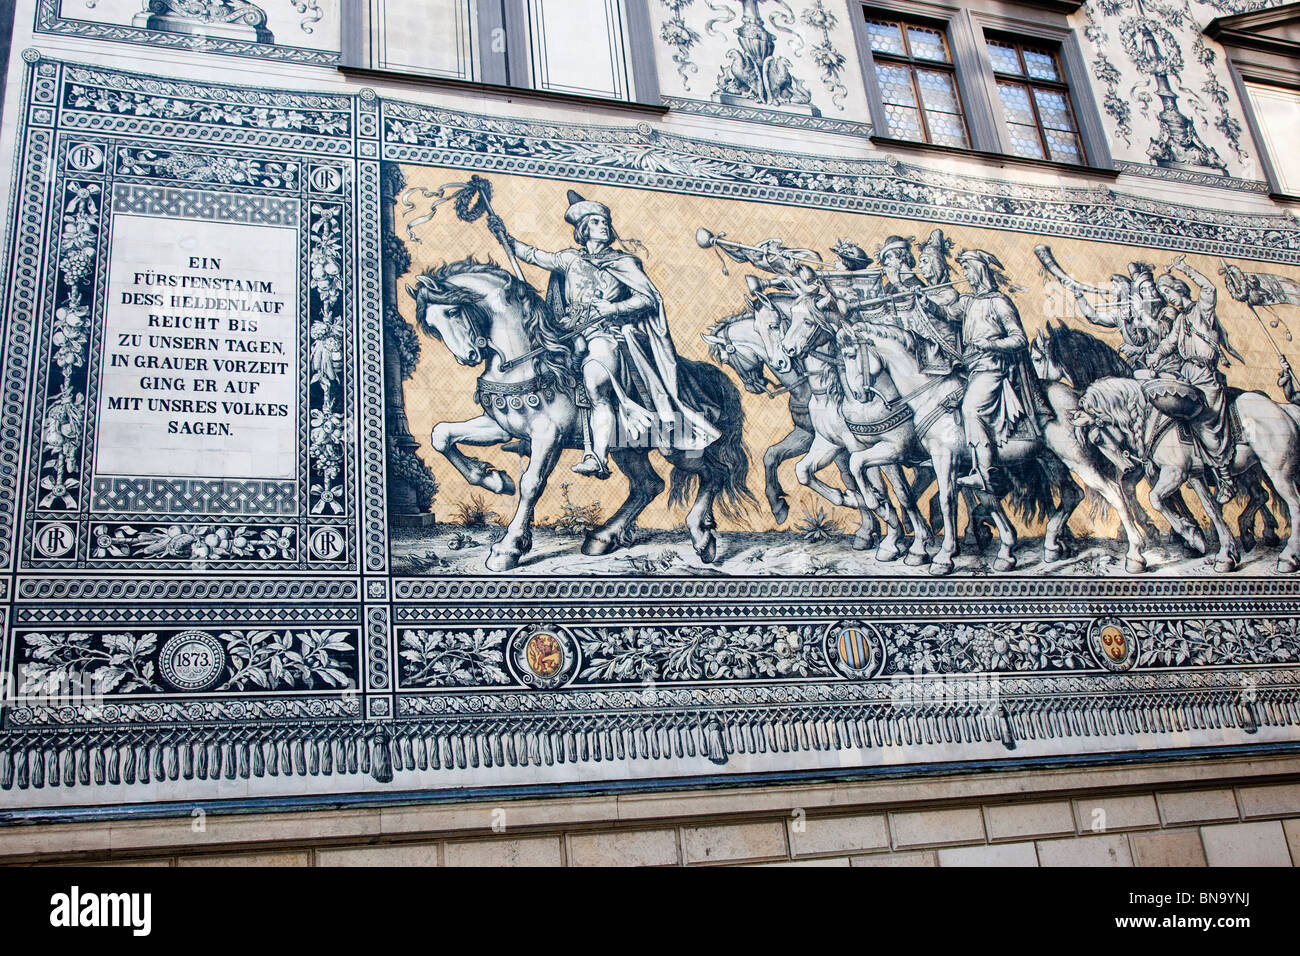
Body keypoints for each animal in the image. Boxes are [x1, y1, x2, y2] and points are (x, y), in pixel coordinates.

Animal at [405, 260, 754, 567]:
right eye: (432, 326)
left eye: (452, 311)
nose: (468, 356)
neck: (530, 362)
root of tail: (709, 375)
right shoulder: (501, 426)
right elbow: (441, 435)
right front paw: (493, 480)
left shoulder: (548, 437)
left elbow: (531, 483)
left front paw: (509, 547)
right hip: (628, 448)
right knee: (649, 485)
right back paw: (602, 537)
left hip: (680, 447)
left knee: (714, 472)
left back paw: (701, 537)